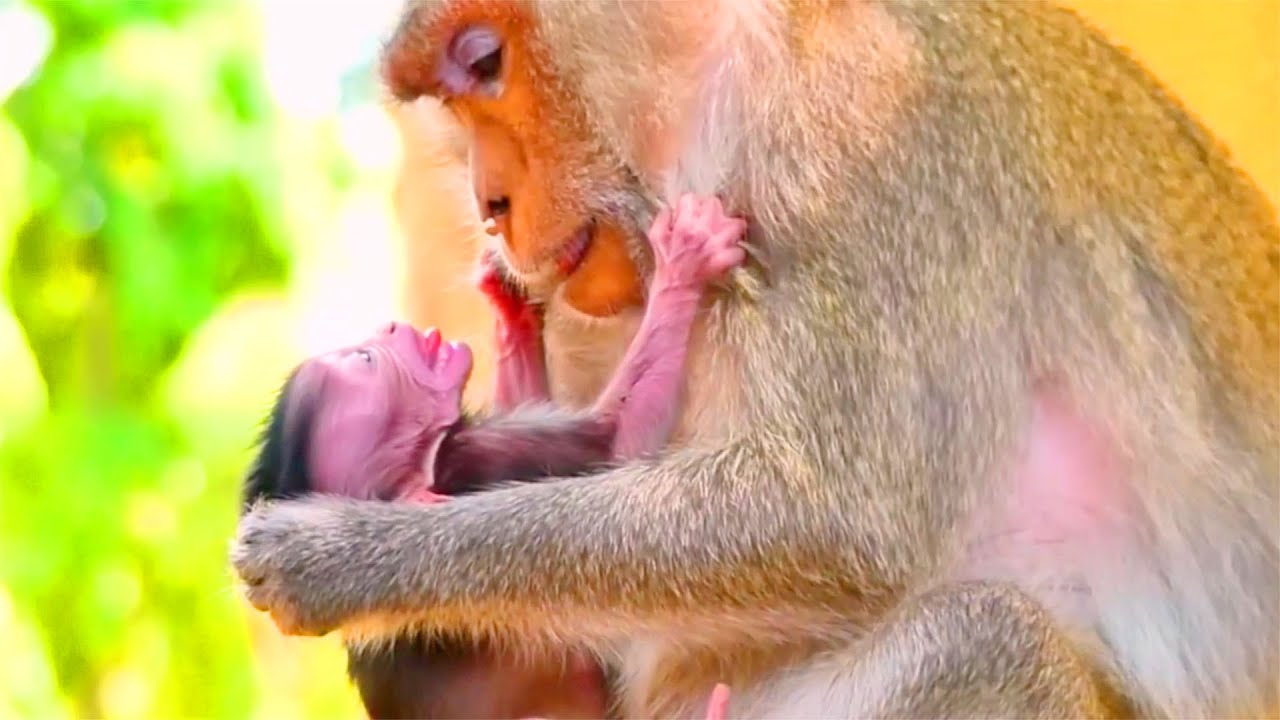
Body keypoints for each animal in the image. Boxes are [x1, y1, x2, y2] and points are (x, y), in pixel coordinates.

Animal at [241, 193, 746, 718]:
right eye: (367, 362)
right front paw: (683, 263)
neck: (432, 462)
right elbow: (619, 438)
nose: (391, 327)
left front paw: (509, 303)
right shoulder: (465, 467)